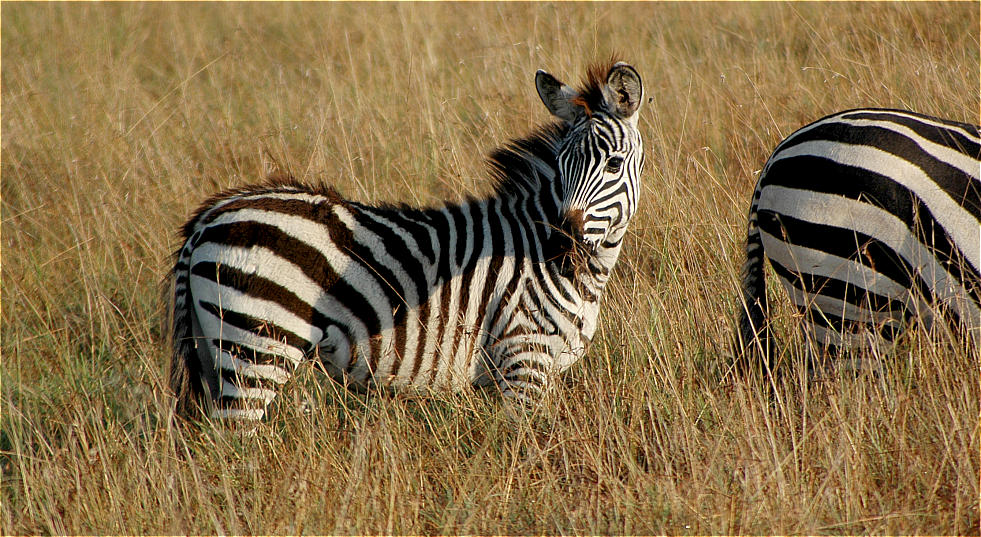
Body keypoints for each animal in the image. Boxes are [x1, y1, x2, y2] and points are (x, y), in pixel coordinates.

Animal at [169, 61, 645, 420]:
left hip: (215, 351)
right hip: (255, 348)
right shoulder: (522, 360)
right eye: (562, 166)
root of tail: (209, 216)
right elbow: (525, 452)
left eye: (614, 164)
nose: (562, 247)